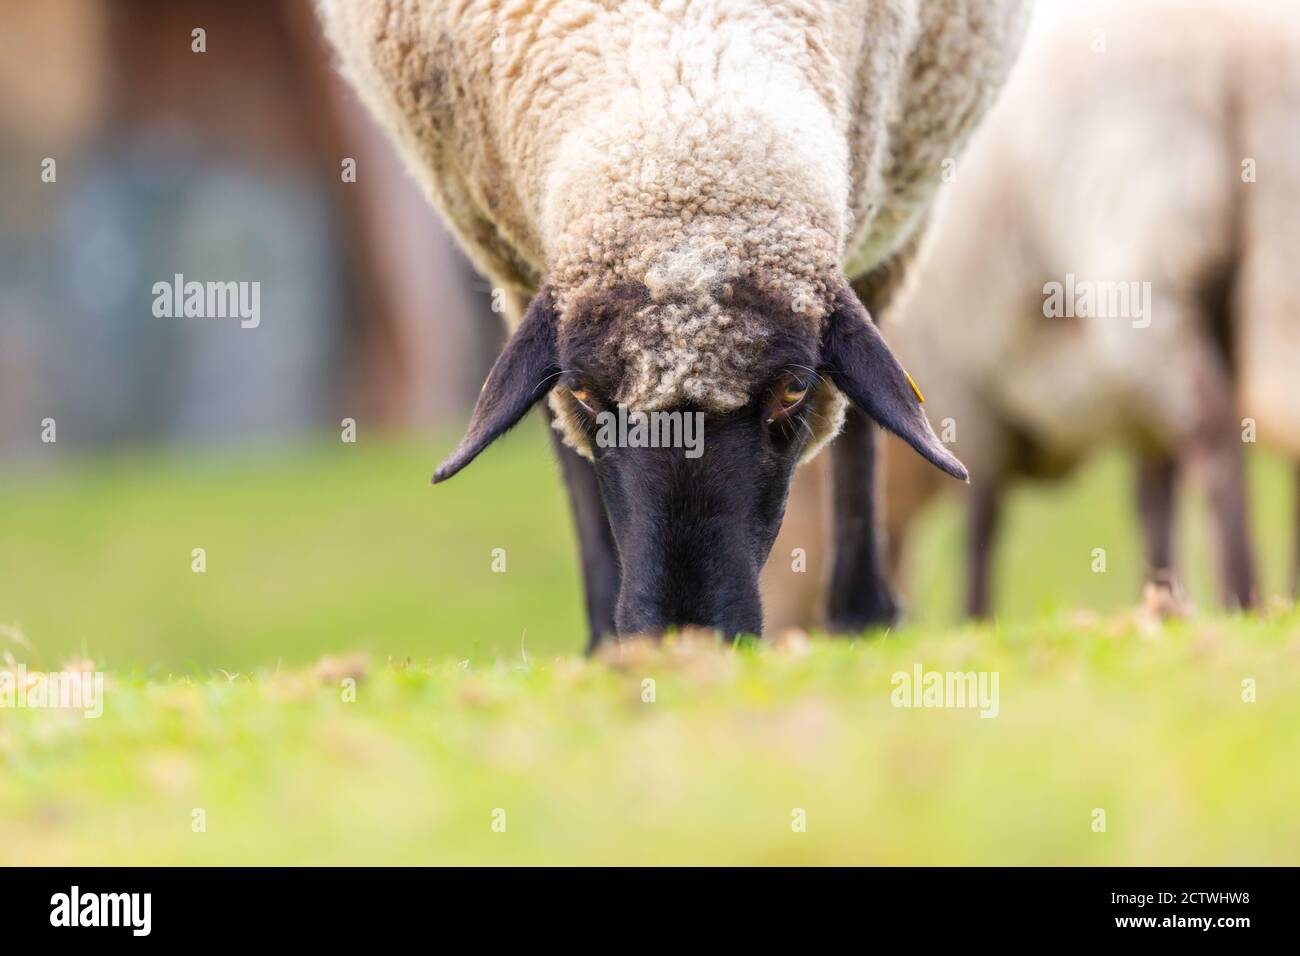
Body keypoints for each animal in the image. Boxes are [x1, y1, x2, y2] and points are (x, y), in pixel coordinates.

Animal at [316, 0, 1030, 646]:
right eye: (583, 393)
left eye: (794, 389)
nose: (686, 636)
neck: (677, 44)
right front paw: (606, 645)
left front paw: (862, 618)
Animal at [878, 0, 1300, 617]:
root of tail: (1250, 61)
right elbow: (1153, 501)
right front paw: (1159, 595)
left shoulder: (968, 385)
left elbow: (981, 517)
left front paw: (975, 616)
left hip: (1147, 267)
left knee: (1215, 430)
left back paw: (1239, 596)